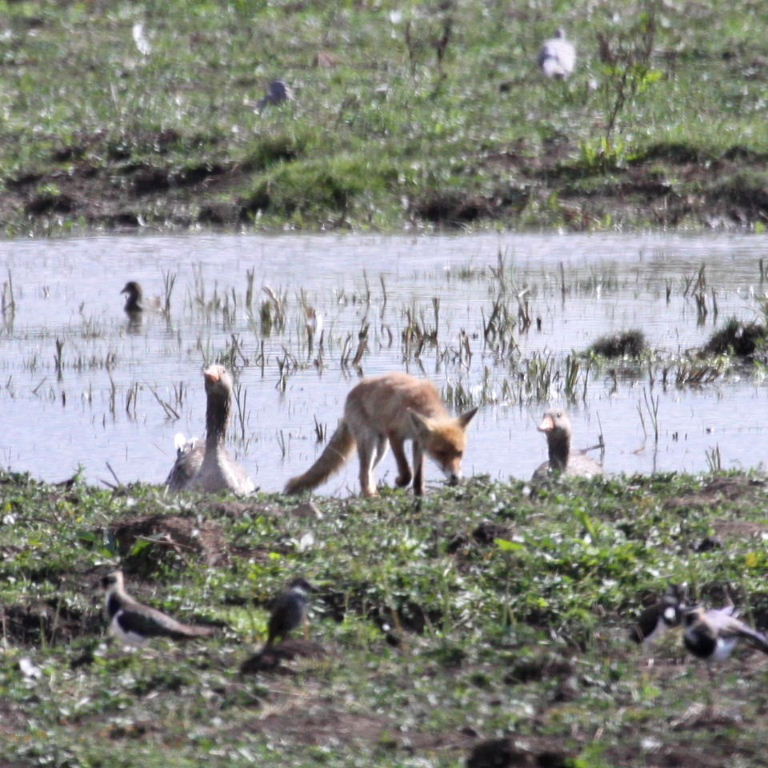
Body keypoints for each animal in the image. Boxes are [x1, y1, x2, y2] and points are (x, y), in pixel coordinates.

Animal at [285, 373, 478, 497]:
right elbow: (407, 470)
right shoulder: (395, 435)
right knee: (363, 474)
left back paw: (373, 491)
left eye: (459, 453)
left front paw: (419, 494)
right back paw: (371, 496)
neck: (419, 403)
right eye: (441, 453)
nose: (455, 478)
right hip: (370, 442)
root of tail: (351, 394)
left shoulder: (417, 442)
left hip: (381, 448)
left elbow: (418, 474)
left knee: (368, 473)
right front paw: (400, 481)